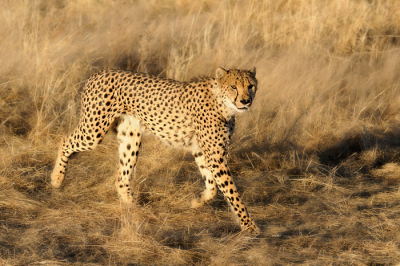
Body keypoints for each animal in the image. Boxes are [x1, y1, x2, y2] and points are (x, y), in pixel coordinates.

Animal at [50, 67, 260, 233]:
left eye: (250, 86)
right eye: (233, 86)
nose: (245, 101)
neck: (223, 103)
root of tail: (98, 73)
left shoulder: (203, 151)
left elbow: (213, 187)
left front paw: (196, 202)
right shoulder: (215, 155)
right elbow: (231, 191)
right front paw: (249, 226)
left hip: (130, 137)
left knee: (122, 177)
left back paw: (136, 210)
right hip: (94, 131)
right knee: (64, 140)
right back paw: (57, 179)